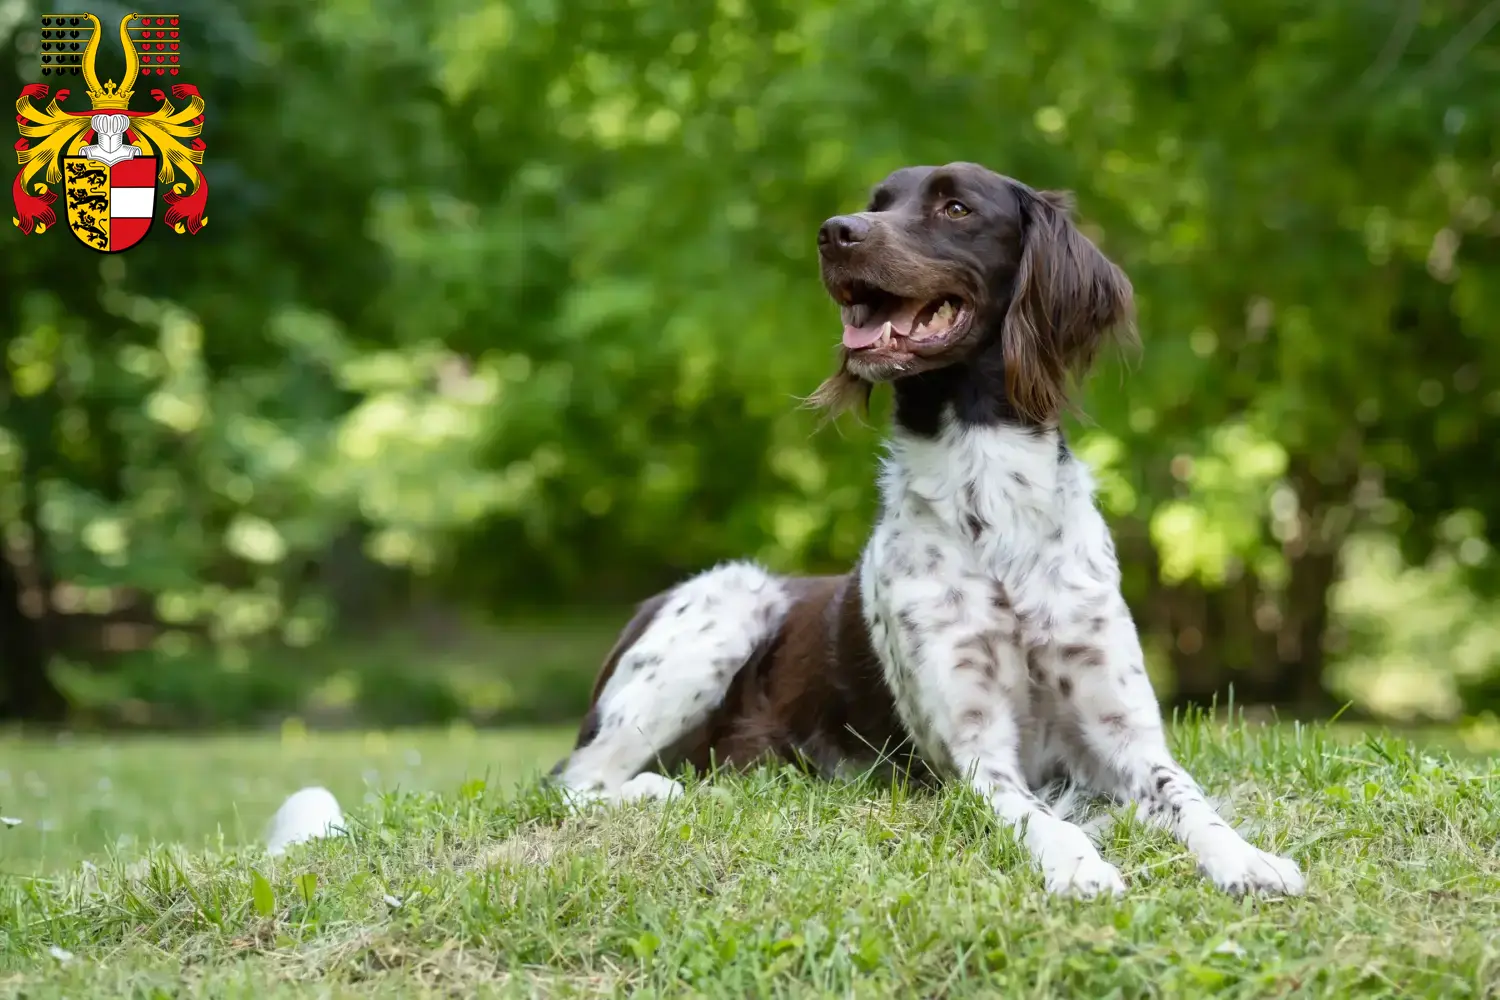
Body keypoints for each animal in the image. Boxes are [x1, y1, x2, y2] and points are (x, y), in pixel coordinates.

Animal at [558, 164, 1308, 899]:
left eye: (955, 208)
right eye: (876, 202)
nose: (835, 232)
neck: (991, 500)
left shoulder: (1125, 734)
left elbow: (1188, 797)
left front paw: (1248, 859)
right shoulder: (975, 755)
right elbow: (1041, 817)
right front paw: (1080, 867)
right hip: (731, 604)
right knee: (573, 780)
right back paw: (657, 790)